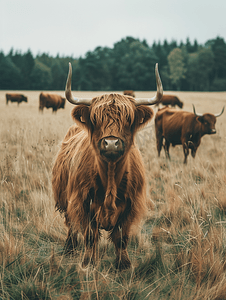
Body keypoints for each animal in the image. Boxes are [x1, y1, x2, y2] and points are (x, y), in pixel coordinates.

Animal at [52, 62, 163, 270]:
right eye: (96, 119)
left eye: (128, 119)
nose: (111, 143)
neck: (110, 178)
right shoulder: (82, 202)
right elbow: (90, 235)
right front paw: (88, 262)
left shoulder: (130, 205)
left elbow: (121, 237)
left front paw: (124, 264)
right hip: (65, 197)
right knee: (70, 224)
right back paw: (69, 248)